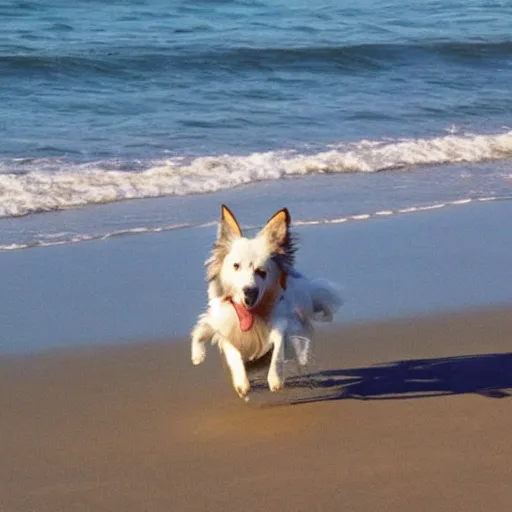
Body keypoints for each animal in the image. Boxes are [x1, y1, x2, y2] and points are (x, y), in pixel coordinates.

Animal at [190, 205, 342, 400]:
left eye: (262, 271)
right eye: (236, 266)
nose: (250, 292)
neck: (252, 315)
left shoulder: (281, 322)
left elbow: (277, 348)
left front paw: (275, 379)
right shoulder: (226, 327)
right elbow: (233, 352)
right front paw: (242, 383)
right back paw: (198, 355)